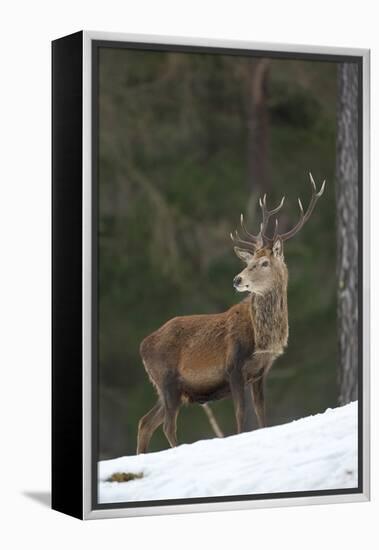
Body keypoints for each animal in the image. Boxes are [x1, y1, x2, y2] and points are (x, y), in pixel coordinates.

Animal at [137, 174, 326, 458]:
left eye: (264, 262)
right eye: (249, 262)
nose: (237, 279)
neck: (263, 340)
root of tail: (143, 345)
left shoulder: (260, 372)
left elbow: (261, 414)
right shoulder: (233, 366)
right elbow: (240, 414)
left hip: (171, 389)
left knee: (145, 422)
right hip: (166, 380)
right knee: (167, 426)